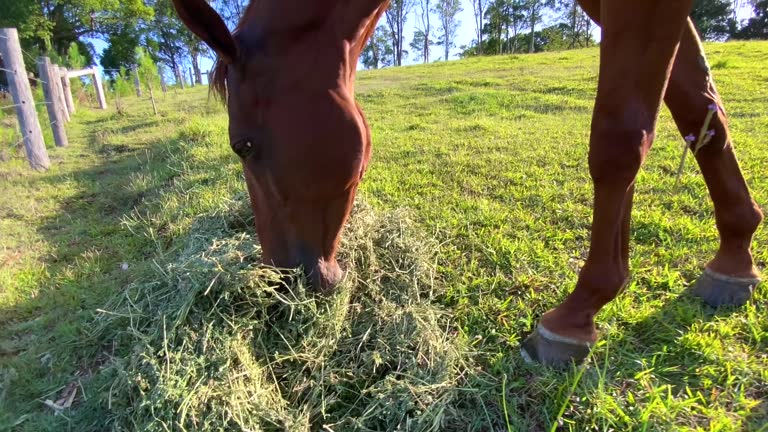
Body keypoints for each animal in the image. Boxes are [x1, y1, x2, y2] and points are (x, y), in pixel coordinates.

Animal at [171, 0, 764, 366]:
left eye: (243, 145)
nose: (280, 287)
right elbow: (700, 110)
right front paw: (735, 253)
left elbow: (620, 140)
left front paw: (579, 311)